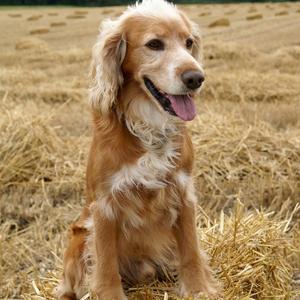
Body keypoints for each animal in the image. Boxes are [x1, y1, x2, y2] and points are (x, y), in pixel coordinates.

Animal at [57, 1, 219, 298]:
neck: (149, 125)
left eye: (189, 42)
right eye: (154, 44)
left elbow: (191, 251)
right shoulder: (105, 204)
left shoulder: (183, 191)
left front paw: (199, 290)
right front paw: (109, 294)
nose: (196, 78)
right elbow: (106, 264)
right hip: (79, 235)